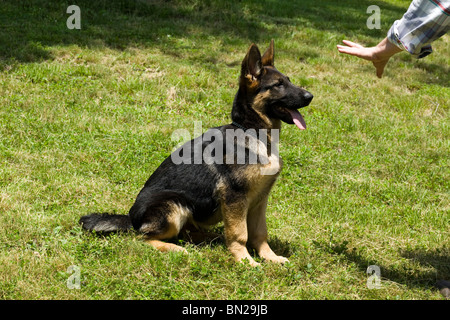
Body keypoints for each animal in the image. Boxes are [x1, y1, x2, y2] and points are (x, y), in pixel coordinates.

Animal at [80, 40, 312, 266]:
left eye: (289, 81)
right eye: (278, 85)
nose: (310, 96)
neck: (252, 132)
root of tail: (132, 219)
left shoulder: (260, 199)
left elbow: (259, 233)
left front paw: (270, 257)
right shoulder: (235, 197)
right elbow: (240, 234)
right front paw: (245, 261)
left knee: (188, 233)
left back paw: (212, 239)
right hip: (174, 206)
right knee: (144, 237)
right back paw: (177, 249)